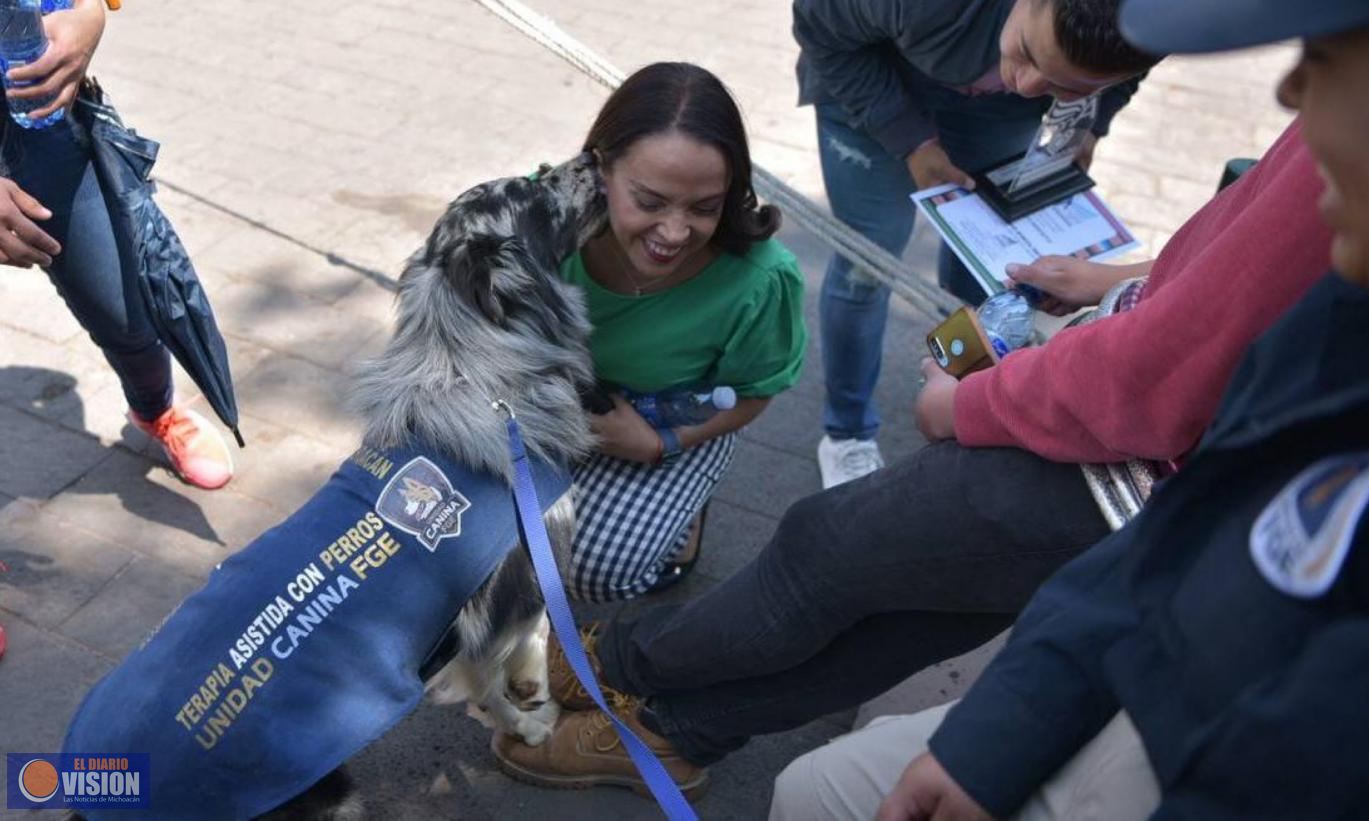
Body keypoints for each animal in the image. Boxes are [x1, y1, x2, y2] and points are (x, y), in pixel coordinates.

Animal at [58, 152, 605, 815]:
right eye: (535, 187)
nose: (596, 156)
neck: (476, 370)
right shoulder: (514, 577)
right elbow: (516, 649)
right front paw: (528, 716)